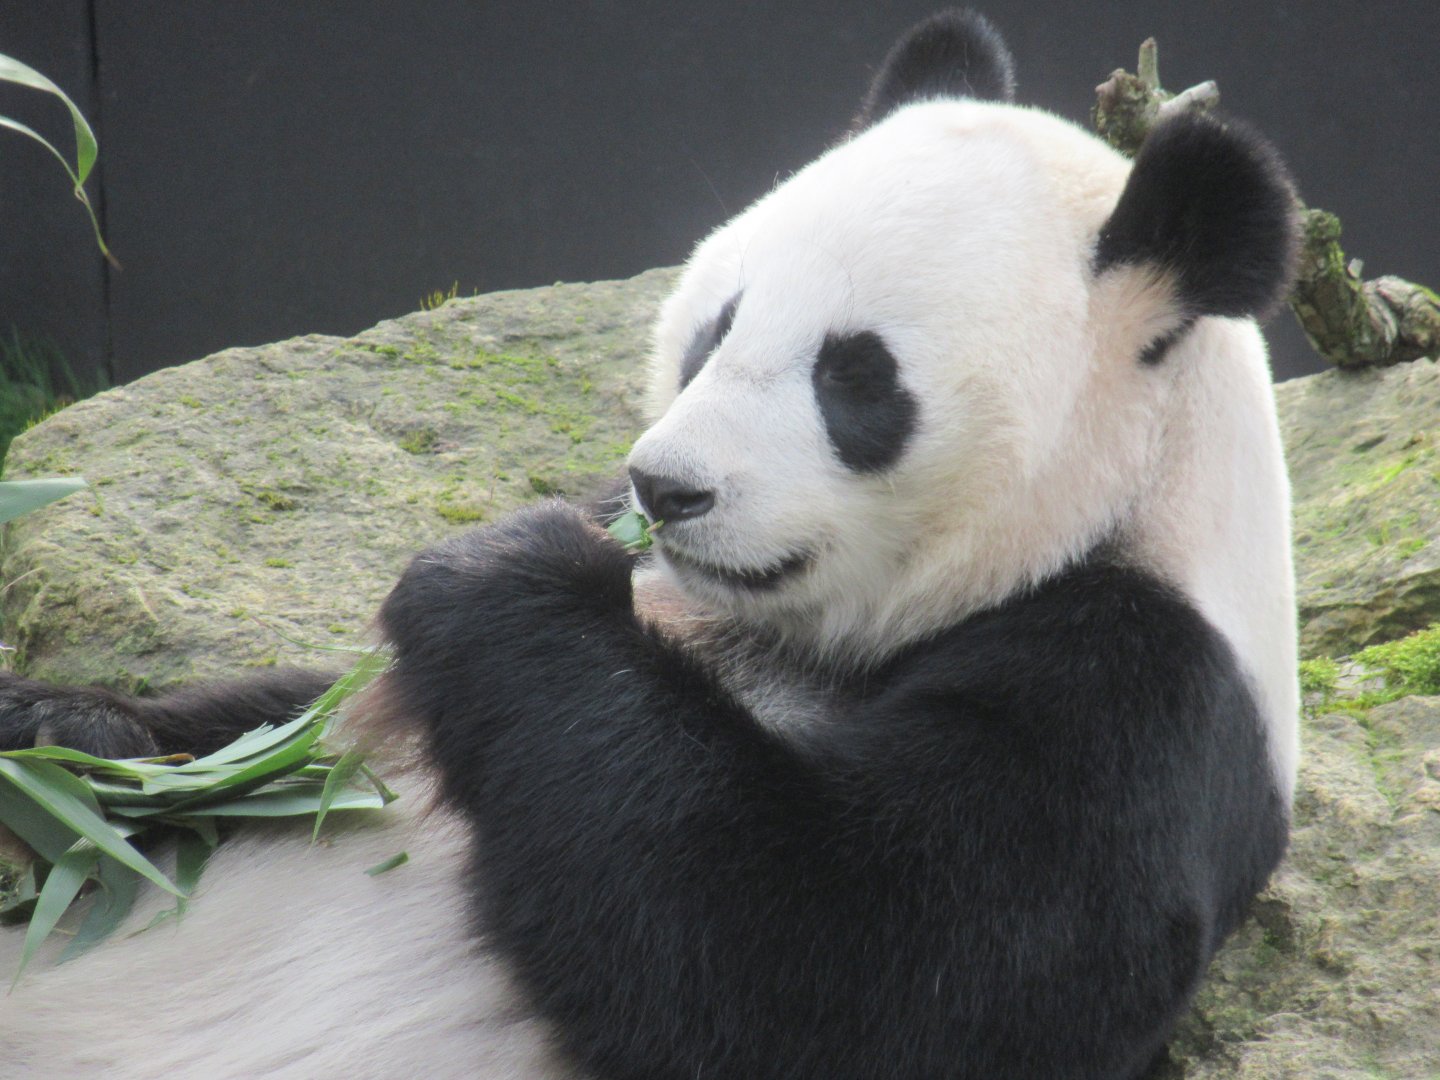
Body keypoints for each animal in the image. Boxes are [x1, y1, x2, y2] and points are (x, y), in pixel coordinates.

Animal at [0, 10, 1298, 1079]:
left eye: (854, 376)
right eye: (716, 326)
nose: (663, 490)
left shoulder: (1142, 697)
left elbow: (828, 966)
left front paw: (500, 575)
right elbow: (275, 727)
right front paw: (62, 739)